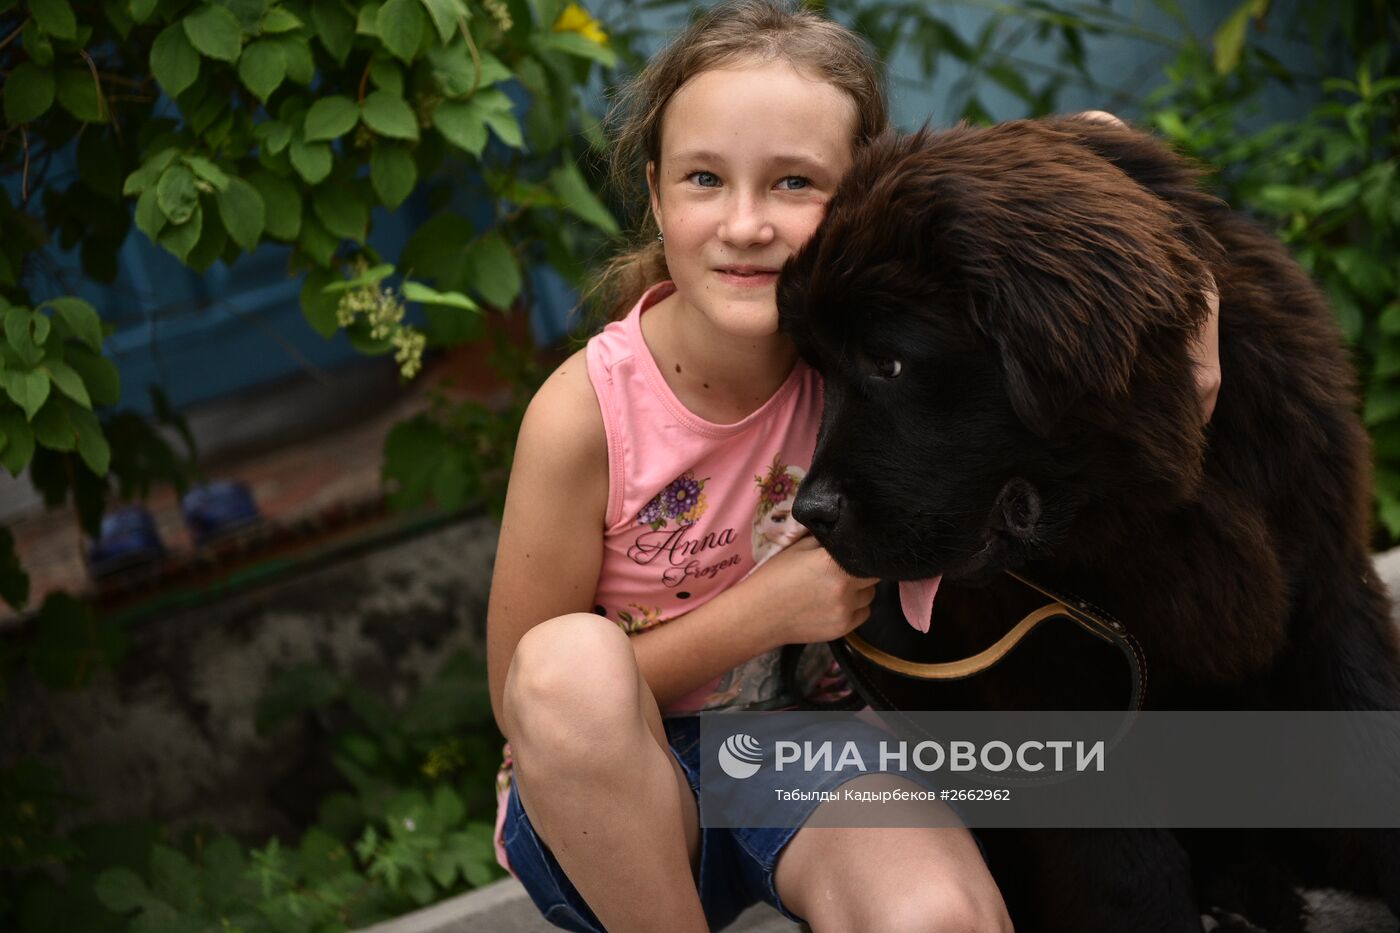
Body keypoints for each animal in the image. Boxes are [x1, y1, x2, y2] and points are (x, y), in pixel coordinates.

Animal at [778, 118, 1400, 930]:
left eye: (887, 363)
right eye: (819, 371)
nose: (810, 513)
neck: (1161, 498)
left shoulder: (1328, 583)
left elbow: (1368, 736)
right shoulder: (1049, 677)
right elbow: (1122, 861)